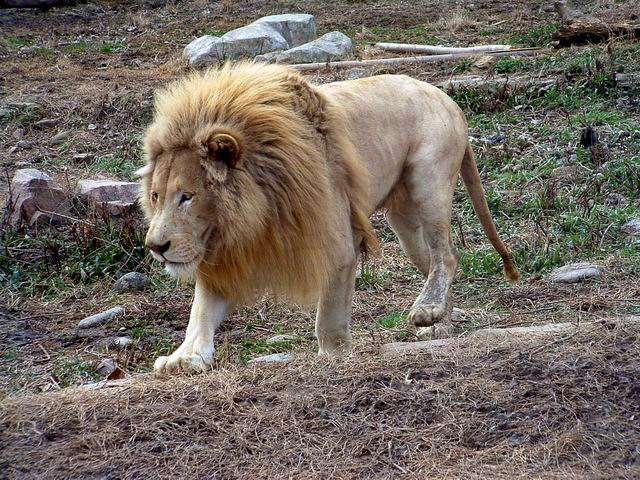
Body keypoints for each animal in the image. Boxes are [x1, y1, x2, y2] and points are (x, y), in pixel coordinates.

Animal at [138, 61, 516, 376]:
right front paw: (185, 358)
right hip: (405, 222)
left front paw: (333, 354)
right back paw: (440, 322)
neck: (250, 216)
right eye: (156, 196)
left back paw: (428, 309)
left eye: (187, 196)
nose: (155, 247)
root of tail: (447, 98)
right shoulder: (226, 257)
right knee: (437, 260)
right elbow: (201, 311)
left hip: (429, 179)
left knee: (447, 255)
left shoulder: (336, 243)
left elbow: (329, 314)